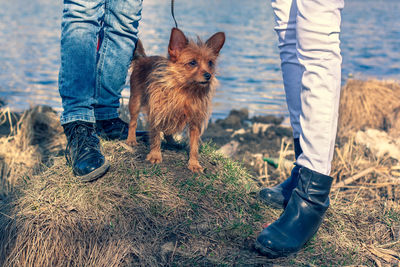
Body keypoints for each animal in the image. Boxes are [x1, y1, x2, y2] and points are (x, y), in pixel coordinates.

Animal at [126, 27, 225, 174]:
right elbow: (155, 135)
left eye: (210, 63)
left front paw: (194, 163)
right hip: (135, 101)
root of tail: (143, 58)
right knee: (133, 121)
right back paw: (131, 139)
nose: (209, 75)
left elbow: (194, 146)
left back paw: (172, 142)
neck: (185, 90)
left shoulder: (195, 121)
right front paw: (155, 155)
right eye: (192, 63)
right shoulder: (157, 113)